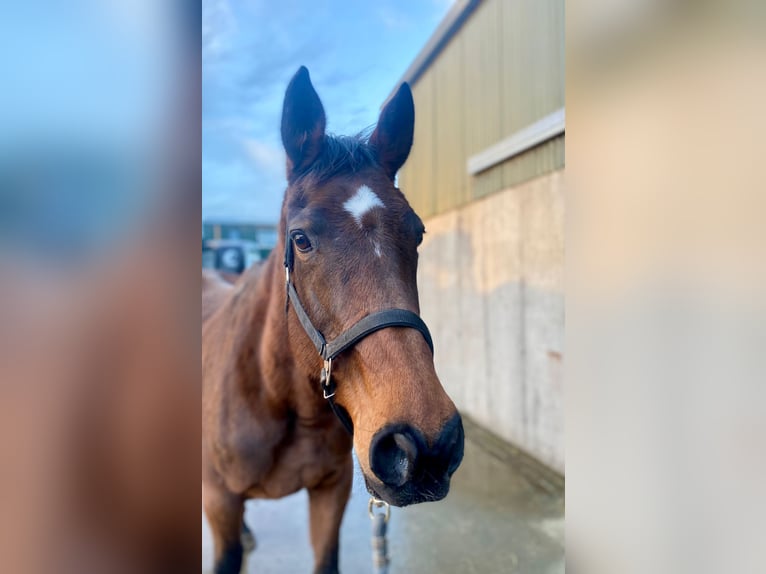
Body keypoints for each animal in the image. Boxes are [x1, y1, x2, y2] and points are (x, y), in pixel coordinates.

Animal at [204, 68, 464, 574]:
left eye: (418, 233)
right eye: (300, 239)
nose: (424, 446)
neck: (277, 398)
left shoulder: (332, 492)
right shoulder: (219, 499)